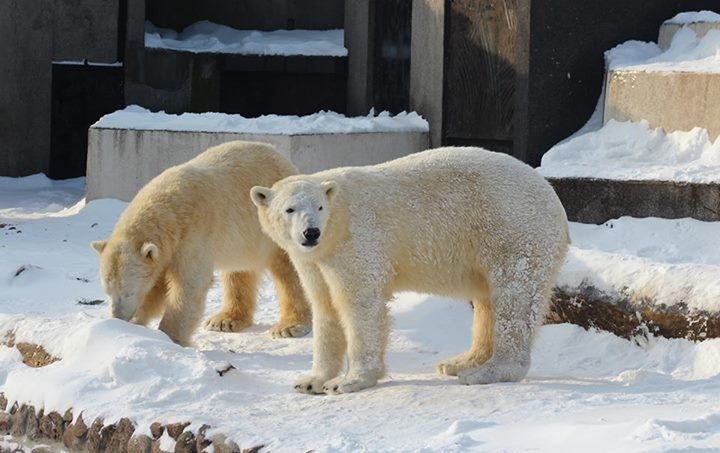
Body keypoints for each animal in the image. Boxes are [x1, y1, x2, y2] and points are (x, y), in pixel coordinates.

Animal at [90, 141, 310, 346]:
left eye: (129, 292)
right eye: (108, 291)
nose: (118, 317)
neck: (168, 209)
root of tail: (284, 159)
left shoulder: (192, 235)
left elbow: (188, 285)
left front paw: (171, 338)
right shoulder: (167, 249)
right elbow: (158, 285)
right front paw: (134, 327)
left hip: (276, 228)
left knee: (289, 269)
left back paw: (290, 326)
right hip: (241, 240)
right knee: (238, 270)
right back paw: (224, 320)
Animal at [250, 146, 572, 392]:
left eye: (318, 207)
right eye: (289, 209)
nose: (311, 233)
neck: (337, 225)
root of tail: (554, 199)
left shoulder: (357, 241)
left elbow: (359, 303)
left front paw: (349, 381)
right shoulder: (315, 261)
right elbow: (325, 305)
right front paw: (310, 381)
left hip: (513, 231)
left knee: (513, 298)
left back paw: (485, 372)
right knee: (487, 301)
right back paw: (459, 362)